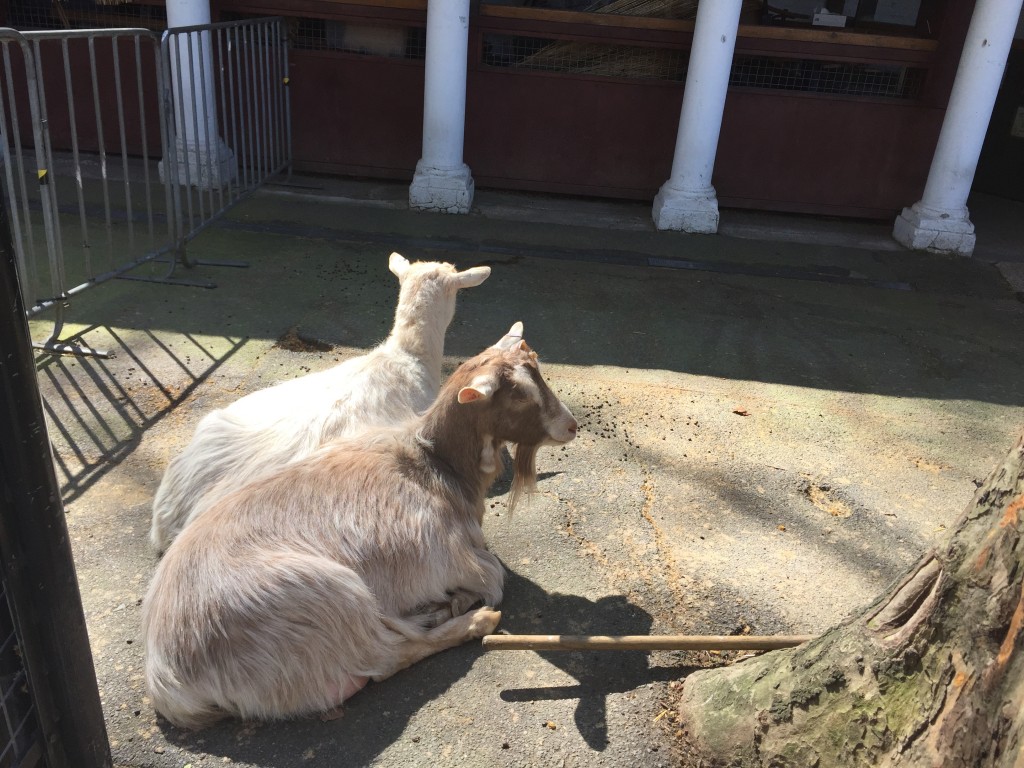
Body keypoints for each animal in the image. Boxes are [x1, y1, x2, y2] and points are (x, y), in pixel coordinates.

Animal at [143, 331, 577, 729]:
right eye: (518, 396)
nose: (571, 426)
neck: (435, 466)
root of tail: (168, 678)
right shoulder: (453, 555)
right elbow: (496, 577)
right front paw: (463, 602)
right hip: (330, 599)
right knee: (386, 658)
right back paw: (469, 621)